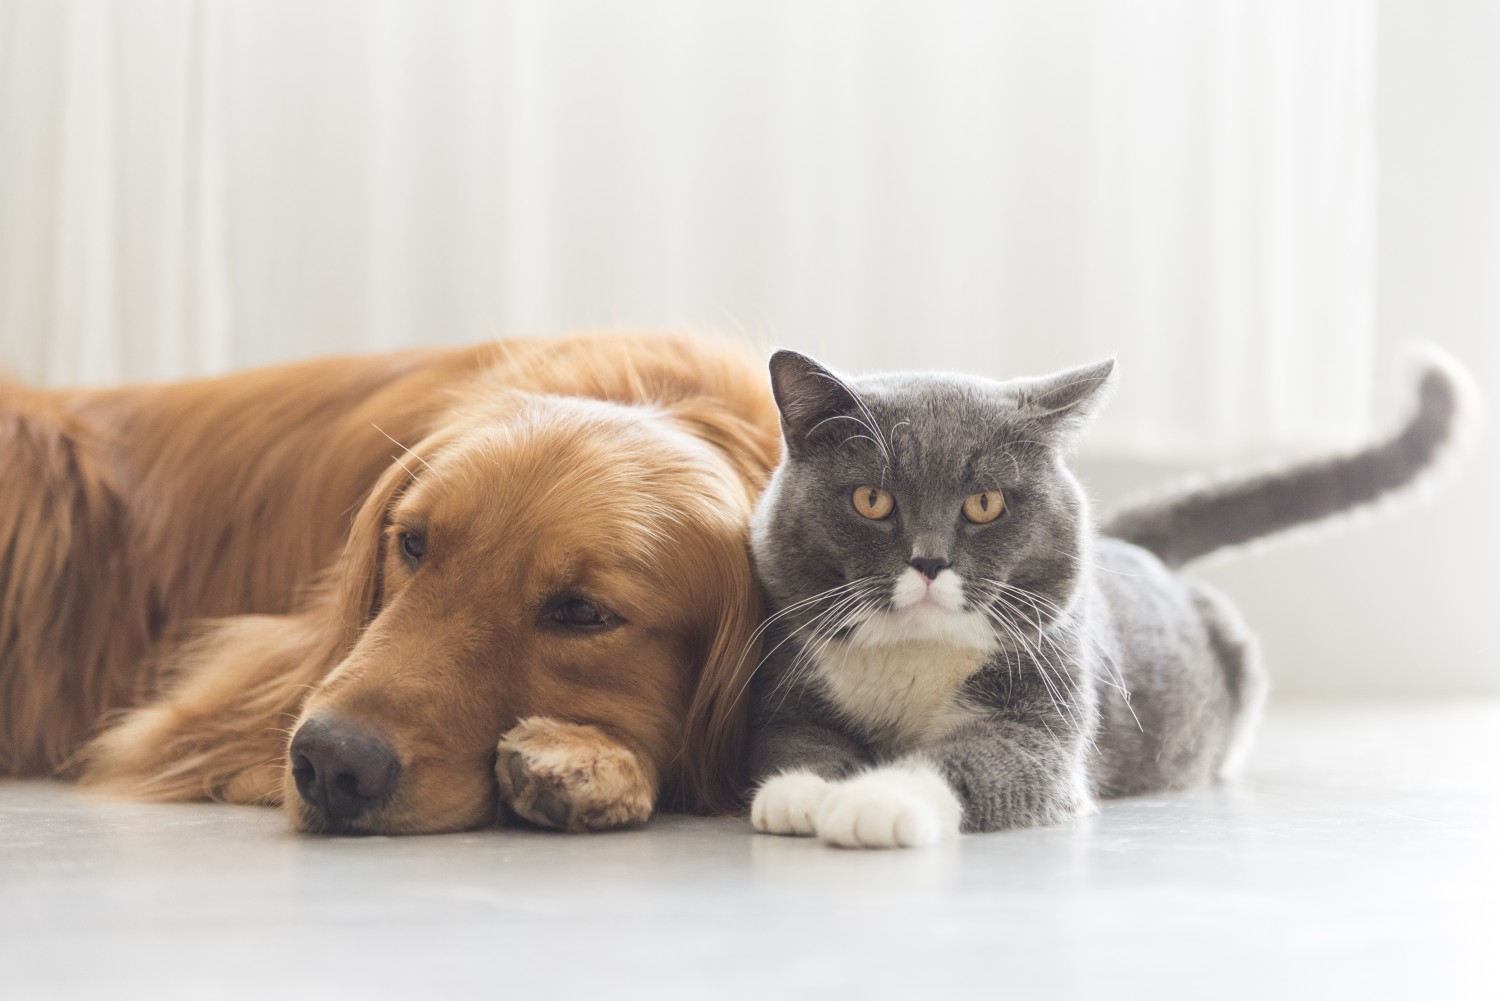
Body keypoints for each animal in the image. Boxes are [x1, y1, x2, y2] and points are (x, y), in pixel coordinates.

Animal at [744, 348, 1470, 852]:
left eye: (985, 503)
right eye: (872, 499)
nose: (928, 560)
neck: (916, 654)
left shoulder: (1044, 715)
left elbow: (971, 761)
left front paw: (873, 802)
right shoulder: (789, 685)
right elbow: (794, 739)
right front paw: (803, 793)